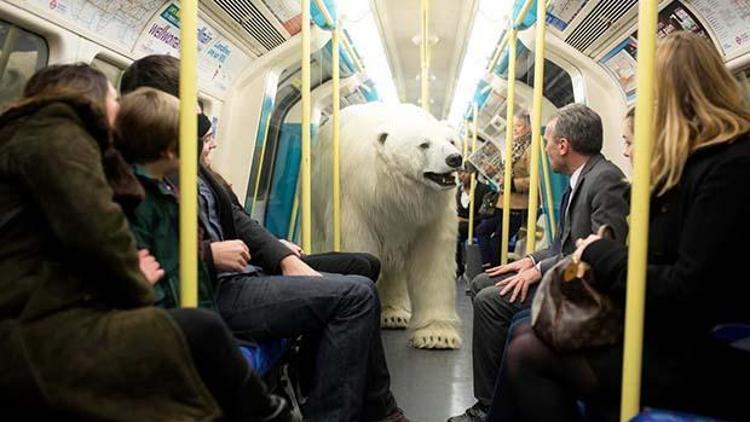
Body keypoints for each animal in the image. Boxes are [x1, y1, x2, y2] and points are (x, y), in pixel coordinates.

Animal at [312, 103, 464, 350]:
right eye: (424, 144)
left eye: (452, 141)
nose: (454, 158)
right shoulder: (356, 200)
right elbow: (358, 244)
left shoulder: (430, 215)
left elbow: (432, 261)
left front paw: (437, 336)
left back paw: (395, 314)